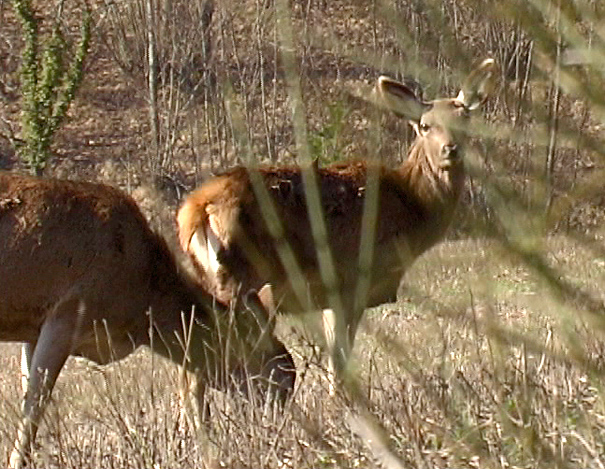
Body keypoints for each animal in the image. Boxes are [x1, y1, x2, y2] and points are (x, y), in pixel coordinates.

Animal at [176, 57, 496, 388]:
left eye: (465, 118)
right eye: (425, 125)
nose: (450, 149)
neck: (411, 205)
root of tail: (195, 211)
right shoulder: (350, 282)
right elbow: (339, 365)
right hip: (243, 278)